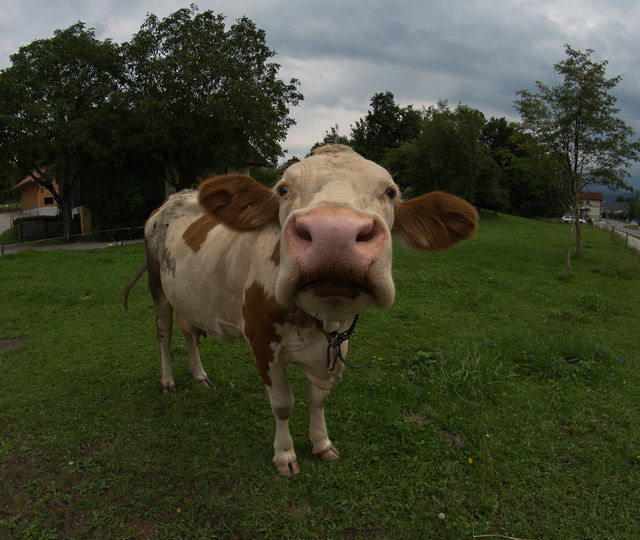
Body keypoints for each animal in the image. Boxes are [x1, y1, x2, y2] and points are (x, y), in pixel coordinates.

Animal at [125, 146, 476, 474]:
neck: (319, 320)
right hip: (158, 286)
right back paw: (168, 381)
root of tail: (175, 197)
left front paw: (322, 444)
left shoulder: (338, 345)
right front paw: (285, 455)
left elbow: (318, 398)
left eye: (390, 192)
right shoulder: (262, 341)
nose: (334, 234)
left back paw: (199, 375)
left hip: (189, 296)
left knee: (191, 335)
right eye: (283, 189)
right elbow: (283, 404)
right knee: (164, 334)